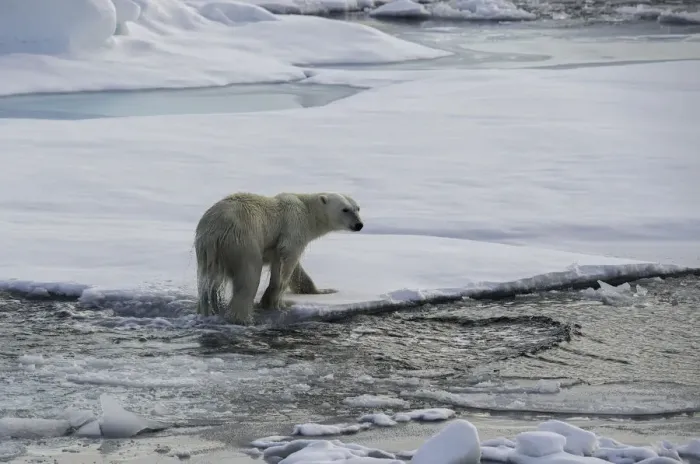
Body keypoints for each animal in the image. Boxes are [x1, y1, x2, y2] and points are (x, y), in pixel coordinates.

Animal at [194, 192, 364, 325]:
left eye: (357, 208)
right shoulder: (293, 227)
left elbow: (295, 270)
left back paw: (208, 310)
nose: (359, 224)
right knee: (248, 278)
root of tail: (215, 231)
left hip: (205, 252)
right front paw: (273, 303)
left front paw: (323, 291)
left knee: (207, 285)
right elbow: (286, 262)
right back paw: (243, 319)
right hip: (243, 241)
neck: (306, 208)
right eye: (345, 209)